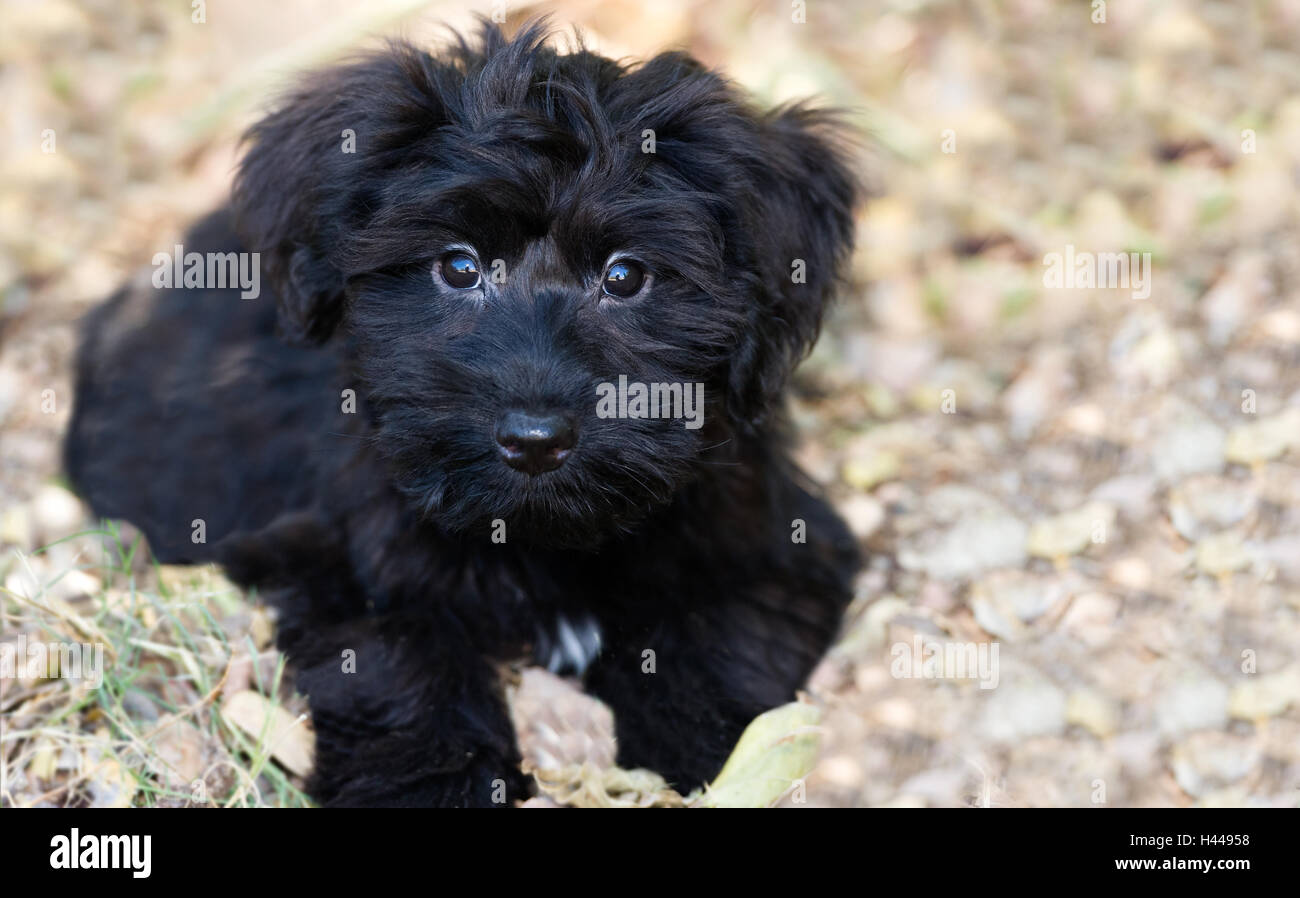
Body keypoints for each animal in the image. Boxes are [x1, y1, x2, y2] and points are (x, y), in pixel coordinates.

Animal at [63, 21, 863, 805]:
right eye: (458, 266)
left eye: (626, 275)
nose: (535, 440)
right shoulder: (334, 549)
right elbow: (401, 658)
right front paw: (445, 782)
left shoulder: (770, 533)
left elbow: (716, 628)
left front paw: (699, 754)